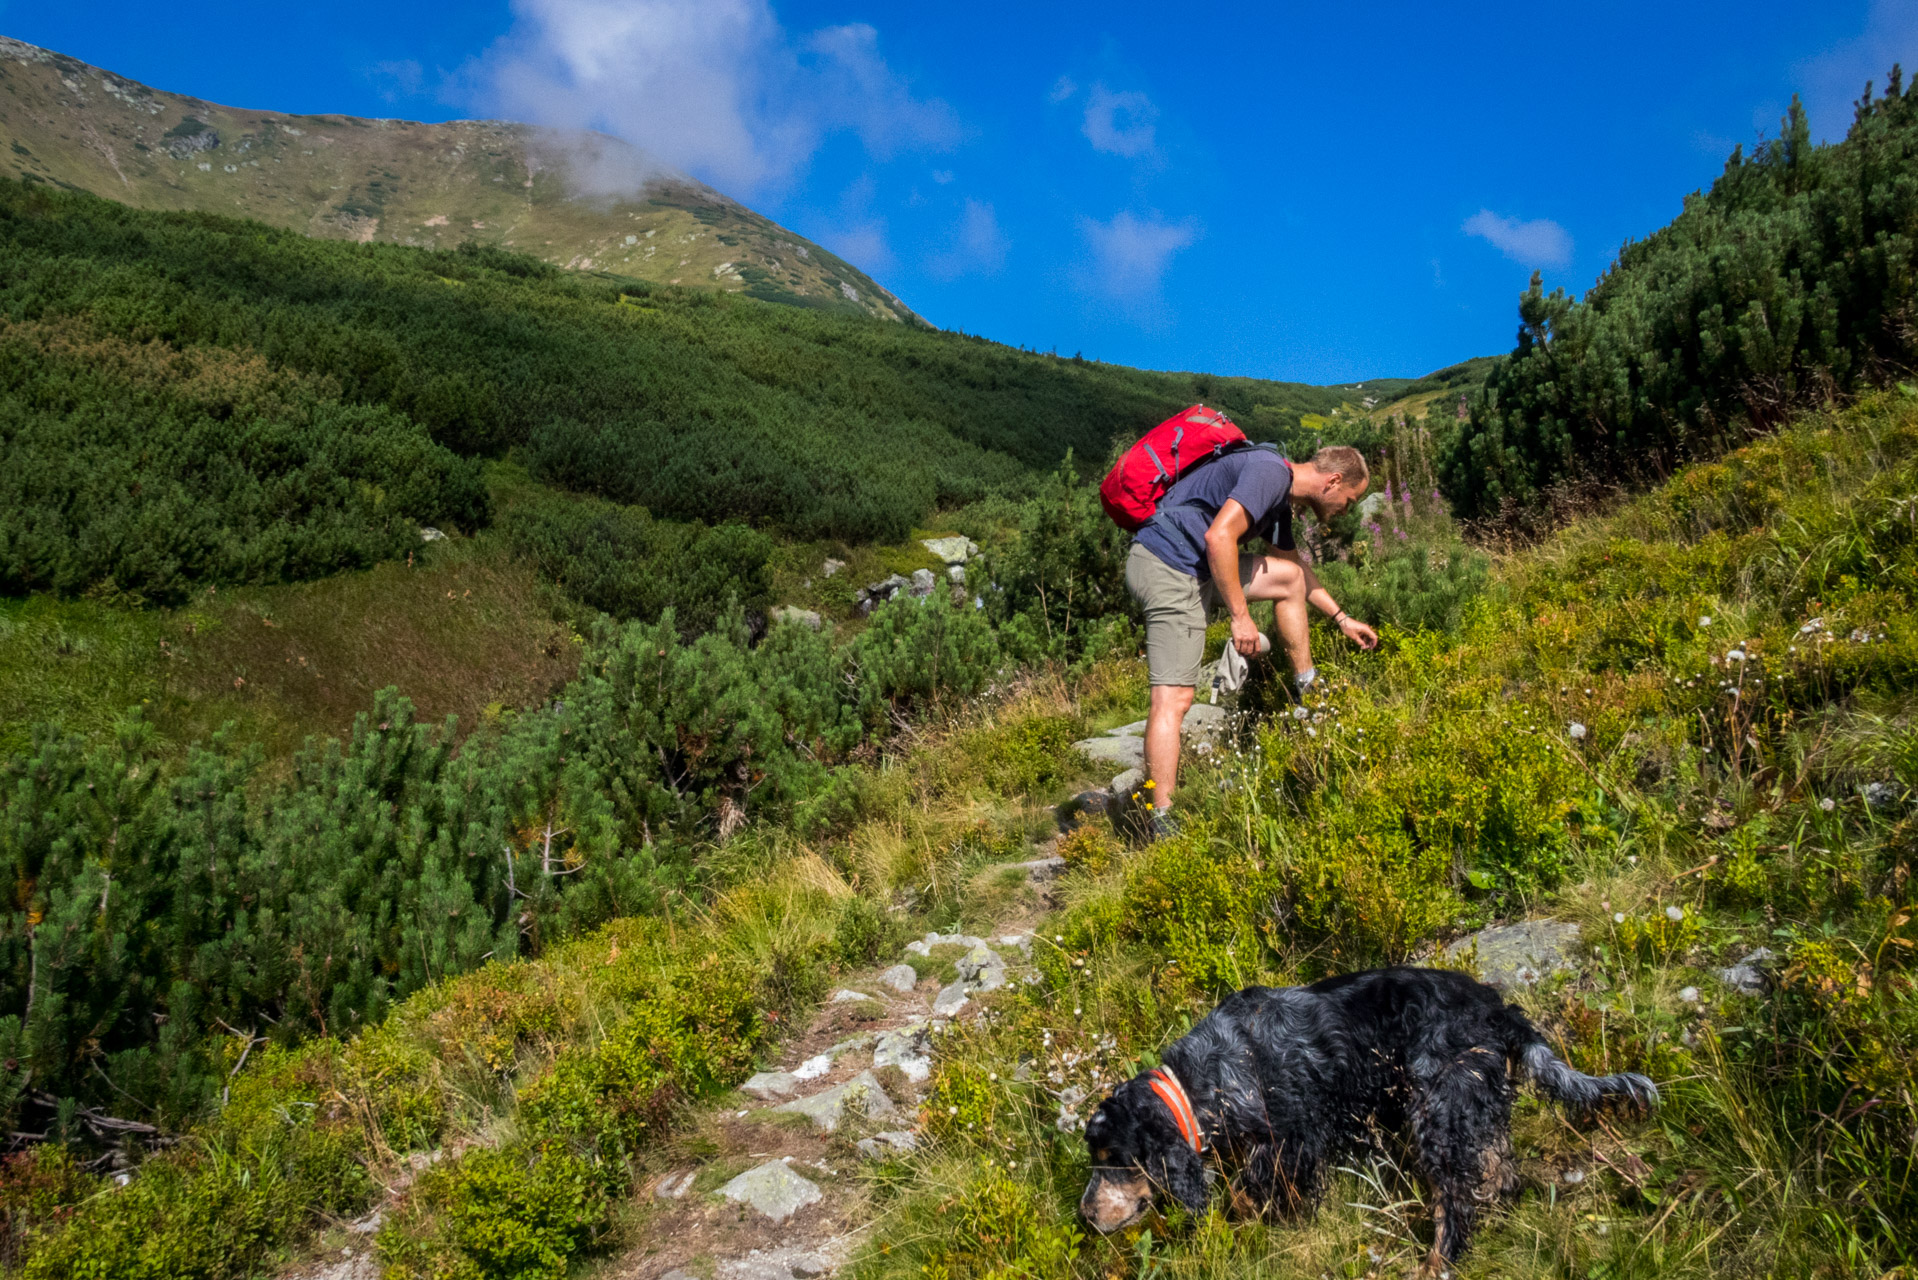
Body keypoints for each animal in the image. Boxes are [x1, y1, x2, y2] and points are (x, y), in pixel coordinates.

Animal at [1089, 971, 1657, 1274]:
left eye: (1115, 1161)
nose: (1085, 1217)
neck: (1196, 1082)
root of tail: (1498, 1009)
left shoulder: (1292, 1137)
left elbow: (1250, 1190)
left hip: (1437, 1110)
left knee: (1456, 1202)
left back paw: (1434, 1265)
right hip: (1471, 1102)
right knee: (1498, 1174)